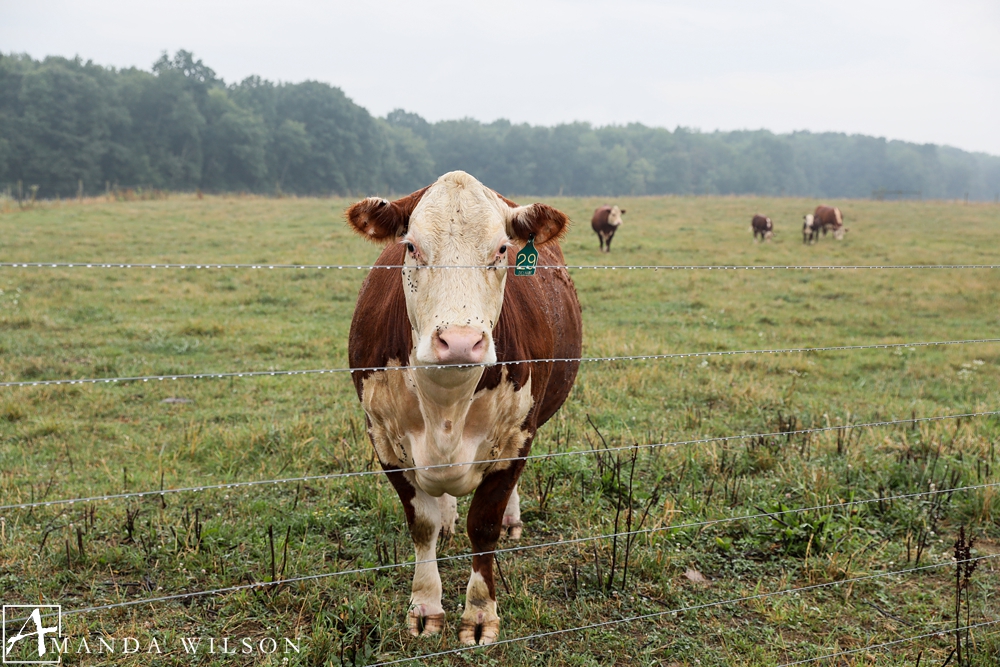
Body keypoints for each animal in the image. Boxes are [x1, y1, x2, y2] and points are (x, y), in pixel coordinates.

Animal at [344, 172, 584, 648]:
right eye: (412, 247)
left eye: (502, 250)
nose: (458, 342)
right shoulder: (384, 440)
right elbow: (421, 524)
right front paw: (424, 608)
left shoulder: (517, 437)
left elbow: (484, 526)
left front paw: (479, 614)